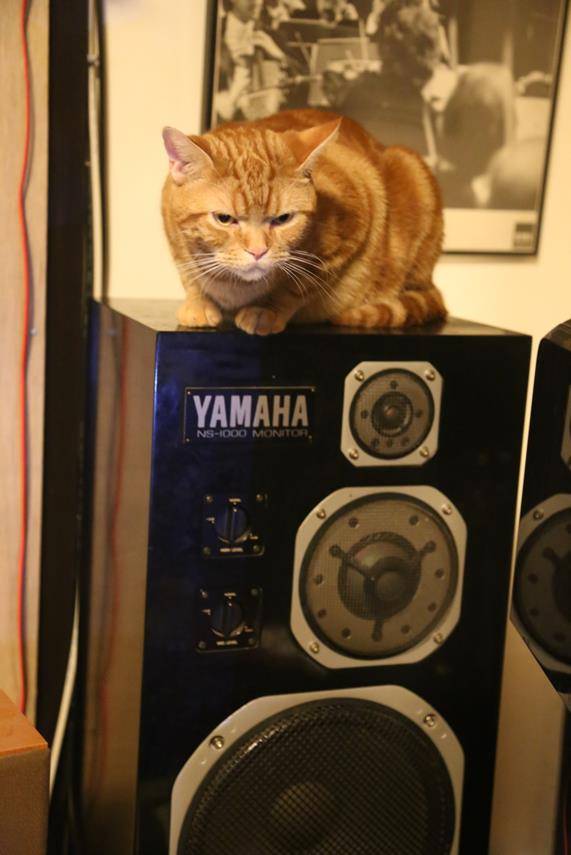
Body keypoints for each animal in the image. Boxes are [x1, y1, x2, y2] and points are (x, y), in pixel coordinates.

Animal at [161, 108, 447, 336]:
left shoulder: (347, 237)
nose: (258, 251)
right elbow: (188, 274)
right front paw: (198, 303)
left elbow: (295, 288)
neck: (235, 286)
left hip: (410, 167)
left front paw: (265, 310)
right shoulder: (174, 237)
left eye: (283, 219)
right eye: (224, 219)